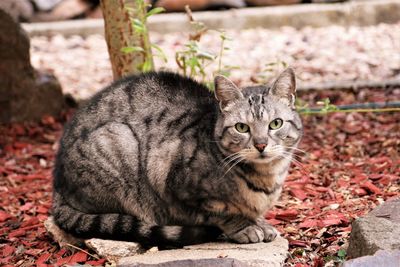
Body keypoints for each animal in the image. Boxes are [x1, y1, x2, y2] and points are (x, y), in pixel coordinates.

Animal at [53, 68, 304, 249]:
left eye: (275, 124)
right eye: (242, 127)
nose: (261, 145)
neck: (266, 178)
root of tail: (57, 183)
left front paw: (260, 222)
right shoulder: (171, 181)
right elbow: (223, 213)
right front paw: (246, 227)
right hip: (119, 142)